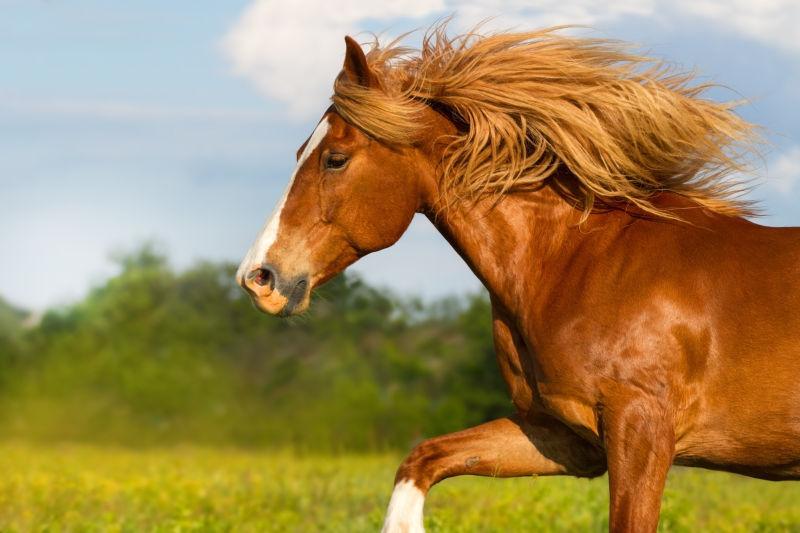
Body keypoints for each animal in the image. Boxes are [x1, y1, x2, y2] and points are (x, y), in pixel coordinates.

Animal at [236, 26, 800, 532]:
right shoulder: (565, 438)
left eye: (335, 159)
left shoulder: (641, 432)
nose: (259, 277)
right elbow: (423, 458)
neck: (577, 262)